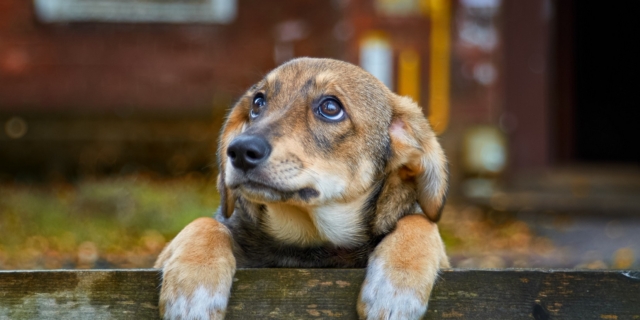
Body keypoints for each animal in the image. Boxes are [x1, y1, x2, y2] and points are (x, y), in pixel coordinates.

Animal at [154, 58, 450, 320]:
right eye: (258, 102)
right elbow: (205, 223)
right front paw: (193, 290)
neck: (308, 241)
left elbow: (420, 221)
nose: (238, 151)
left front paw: (396, 290)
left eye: (330, 107)